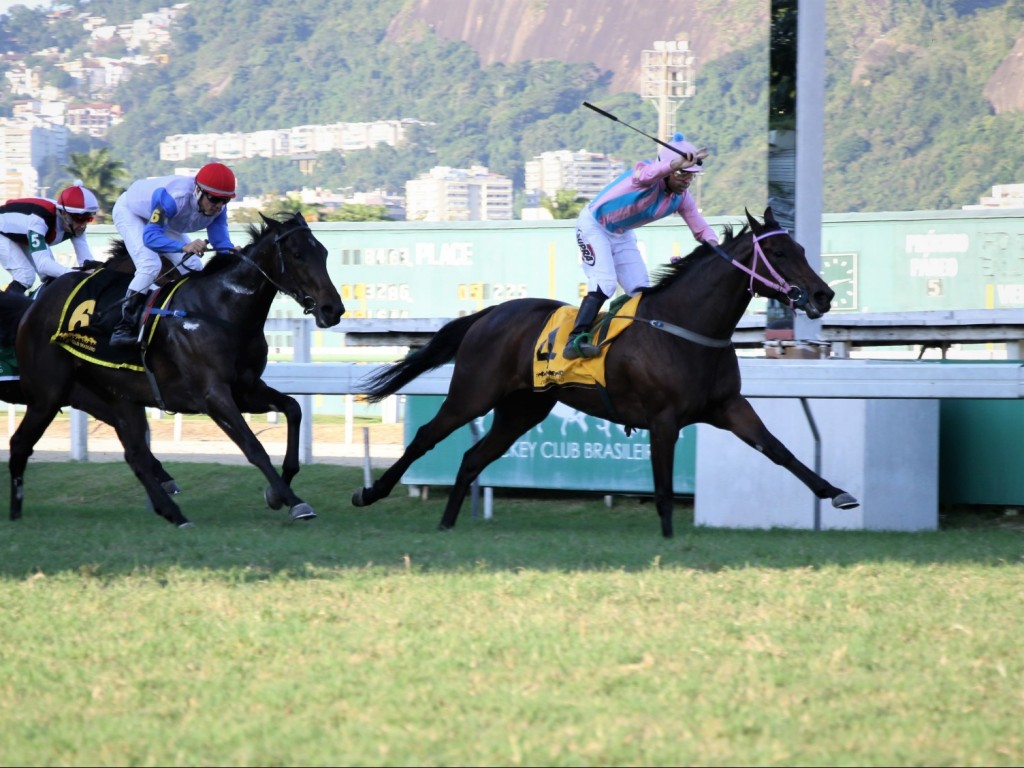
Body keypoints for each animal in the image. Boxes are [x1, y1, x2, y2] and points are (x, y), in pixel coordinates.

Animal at [8, 217, 346, 528]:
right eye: (298, 254)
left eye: (324, 252)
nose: (333, 309)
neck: (220, 310)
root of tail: (36, 305)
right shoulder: (213, 395)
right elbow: (253, 447)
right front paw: (293, 501)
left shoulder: (246, 389)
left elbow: (293, 408)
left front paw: (277, 493)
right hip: (48, 394)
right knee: (20, 443)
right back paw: (15, 512)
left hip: (119, 397)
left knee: (136, 455)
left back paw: (173, 513)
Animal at [352, 207, 856, 536]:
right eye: (780, 253)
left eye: (801, 247)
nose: (824, 294)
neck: (687, 326)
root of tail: (490, 313)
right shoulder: (664, 419)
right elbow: (663, 485)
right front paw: (669, 540)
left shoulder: (728, 407)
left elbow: (779, 450)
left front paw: (836, 493)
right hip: (474, 394)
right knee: (426, 438)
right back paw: (370, 494)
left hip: (523, 409)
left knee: (473, 458)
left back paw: (447, 524)